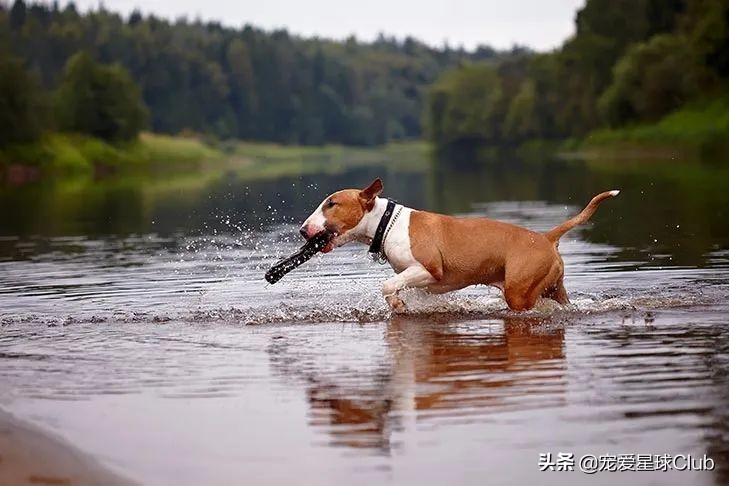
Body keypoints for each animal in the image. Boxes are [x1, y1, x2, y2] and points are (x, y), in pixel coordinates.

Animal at [298, 178, 616, 312]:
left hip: (520, 291)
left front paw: (397, 303)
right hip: (553, 287)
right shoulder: (420, 281)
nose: (303, 230)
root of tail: (547, 237)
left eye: (331, 204)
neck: (387, 223)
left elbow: (388, 285)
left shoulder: (429, 269)